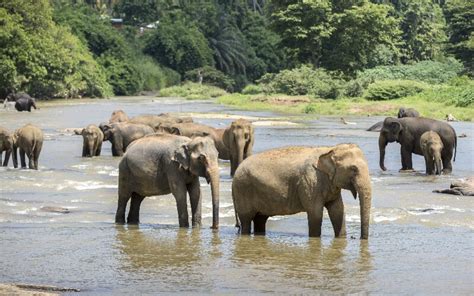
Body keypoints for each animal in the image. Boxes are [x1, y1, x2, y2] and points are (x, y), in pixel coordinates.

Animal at [231, 145, 372, 239]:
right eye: (353, 169)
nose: (358, 238)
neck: (330, 149)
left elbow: (338, 211)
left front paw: (341, 238)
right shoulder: (311, 182)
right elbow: (315, 213)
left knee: (260, 219)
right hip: (243, 189)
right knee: (246, 220)